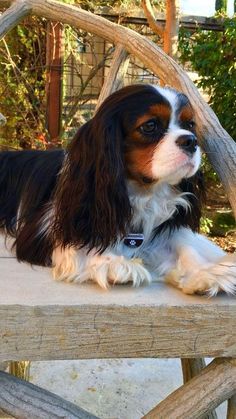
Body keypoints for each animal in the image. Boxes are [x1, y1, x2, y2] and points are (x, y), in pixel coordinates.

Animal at [0, 84, 236, 296]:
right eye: (150, 126)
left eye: (190, 124)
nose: (191, 140)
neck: (142, 192)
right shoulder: (46, 231)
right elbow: (80, 248)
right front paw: (113, 263)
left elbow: (184, 248)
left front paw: (205, 272)